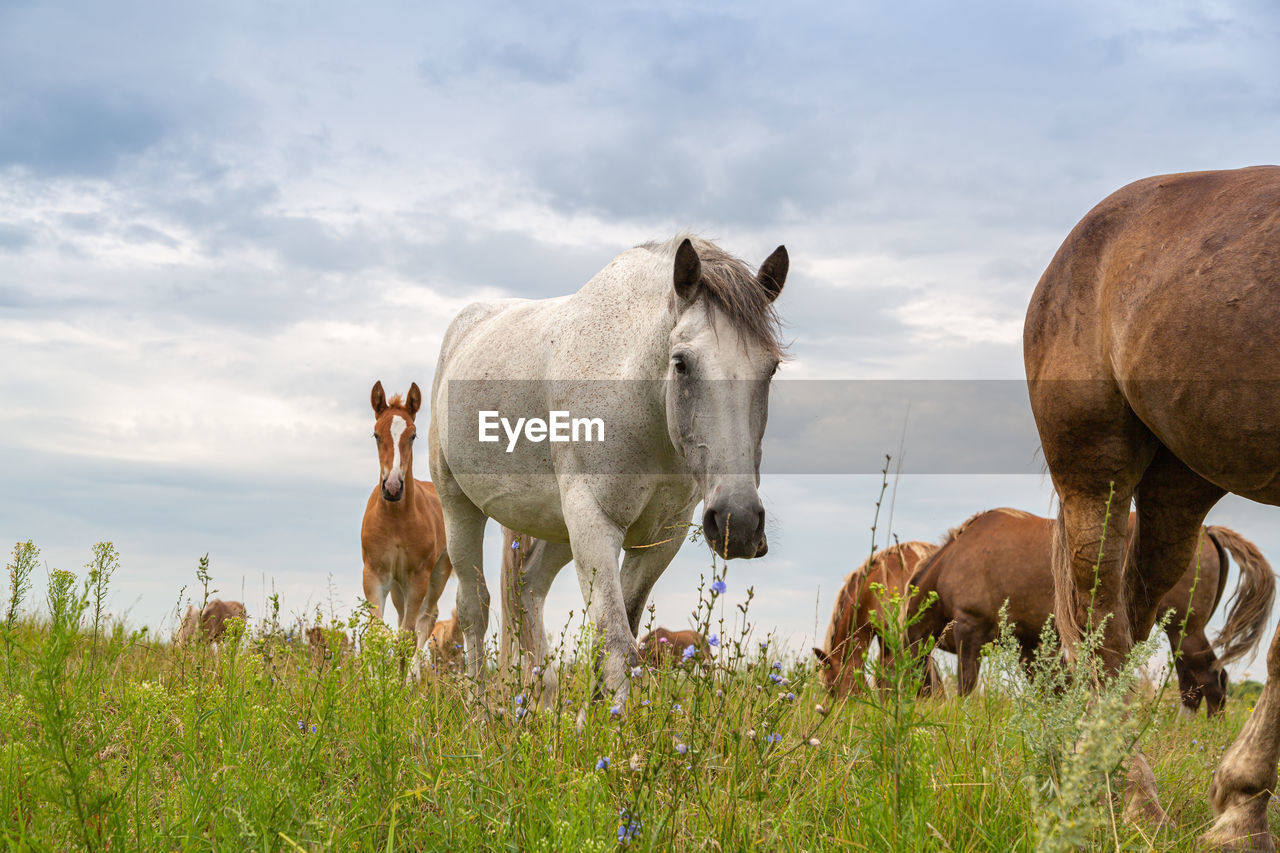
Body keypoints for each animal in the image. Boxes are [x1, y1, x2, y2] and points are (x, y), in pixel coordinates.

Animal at [360, 379, 455, 671]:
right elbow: (376, 634)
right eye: (376, 434)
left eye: (412, 435)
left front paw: (397, 682)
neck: (396, 522)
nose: (392, 487)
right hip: (397, 587)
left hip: (437, 575)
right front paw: (377, 680)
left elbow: (406, 636)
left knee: (425, 620)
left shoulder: (418, 578)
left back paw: (413, 675)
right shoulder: (375, 574)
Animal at [432, 234, 788, 701]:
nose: (738, 522)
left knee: (527, 591)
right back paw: (480, 708)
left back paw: (540, 704)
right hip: (459, 507)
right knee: (474, 606)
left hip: (559, 529)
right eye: (681, 363)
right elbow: (618, 646)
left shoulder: (657, 540)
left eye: (771, 368)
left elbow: (620, 640)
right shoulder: (595, 522)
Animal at [906, 504, 1274, 712]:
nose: (917, 703)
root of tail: (1207, 530)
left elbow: (966, 686)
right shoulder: (1032, 644)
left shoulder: (970, 630)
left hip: (1185, 629)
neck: (953, 559)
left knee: (1208, 683)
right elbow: (1054, 691)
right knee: (1197, 685)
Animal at [1018, 162, 1280, 840]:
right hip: (1095, 471)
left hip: (1179, 488)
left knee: (1123, 614)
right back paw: (1129, 798)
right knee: (1099, 625)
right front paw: (1241, 813)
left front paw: (1238, 807)